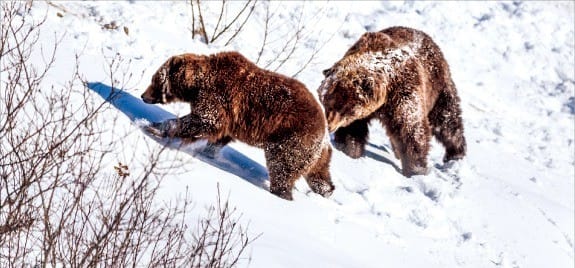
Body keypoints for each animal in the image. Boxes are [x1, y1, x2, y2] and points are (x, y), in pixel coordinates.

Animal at [141, 51, 336, 200]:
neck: (198, 84)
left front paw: (154, 126)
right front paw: (209, 152)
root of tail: (325, 134)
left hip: (292, 138)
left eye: (155, 80)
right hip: (317, 154)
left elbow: (203, 120)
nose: (143, 96)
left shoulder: (218, 98)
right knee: (319, 175)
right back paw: (326, 191)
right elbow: (219, 137)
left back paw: (281, 193)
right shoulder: (231, 118)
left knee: (282, 167)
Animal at [320, 26, 468, 178]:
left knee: (447, 122)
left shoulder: (404, 92)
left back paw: (456, 154)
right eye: (325, 103)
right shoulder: (361, 115)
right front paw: (348, 150)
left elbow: (411, 130)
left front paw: (416, 170)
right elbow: (352, 131)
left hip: (437, 87)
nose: (329, 125)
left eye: (341, 108)